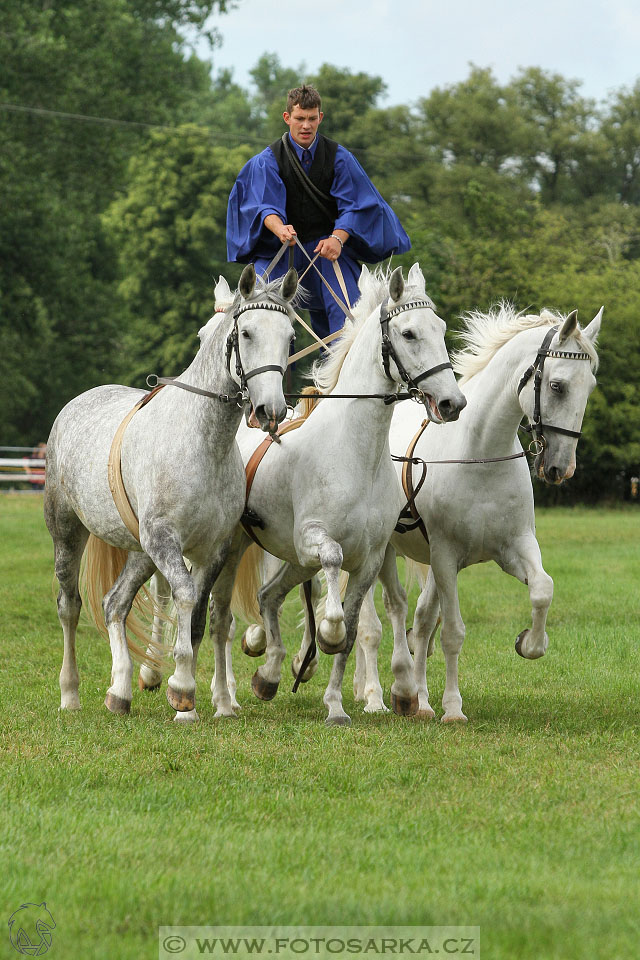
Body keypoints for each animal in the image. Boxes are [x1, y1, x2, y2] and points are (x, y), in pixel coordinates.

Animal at [45, 266, 300, 716]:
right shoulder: (166, 540)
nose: (270, 411)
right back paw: (71, 693)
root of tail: (75, 404)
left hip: (139, 551)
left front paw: (194, 702)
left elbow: (198, 617)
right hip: (69, 532)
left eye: (289, 338)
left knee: (114, 603)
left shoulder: (213, 549)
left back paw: (120, 691)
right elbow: (184, 596)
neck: (203, 444)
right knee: (70, 607)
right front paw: (181, 686)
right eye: (246, 332)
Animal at [208, 258, 468, 724]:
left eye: (439, 328)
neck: (355, 453)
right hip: (236, 547)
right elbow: (333, 587)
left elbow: (351, 631)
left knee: (269, 597)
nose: (452, 403)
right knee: (220, 617)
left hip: (291, 562)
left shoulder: (370, 560)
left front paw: (335, 705)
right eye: (408, 333)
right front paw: (325, 637)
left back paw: (269, 676)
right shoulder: (313, 541)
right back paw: (222, 699)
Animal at [352, 304, 604, 716]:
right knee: (377, 620)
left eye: (591, 386)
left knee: (419, 620)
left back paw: (418, 701)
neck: (481, 456)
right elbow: (453, 632)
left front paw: (529, 643)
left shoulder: (514, 547)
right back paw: (376, 696)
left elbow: (543, 589)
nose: (560, 468)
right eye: (557, 386)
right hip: (381, 553)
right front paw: (453, 709)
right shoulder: (445, 558)